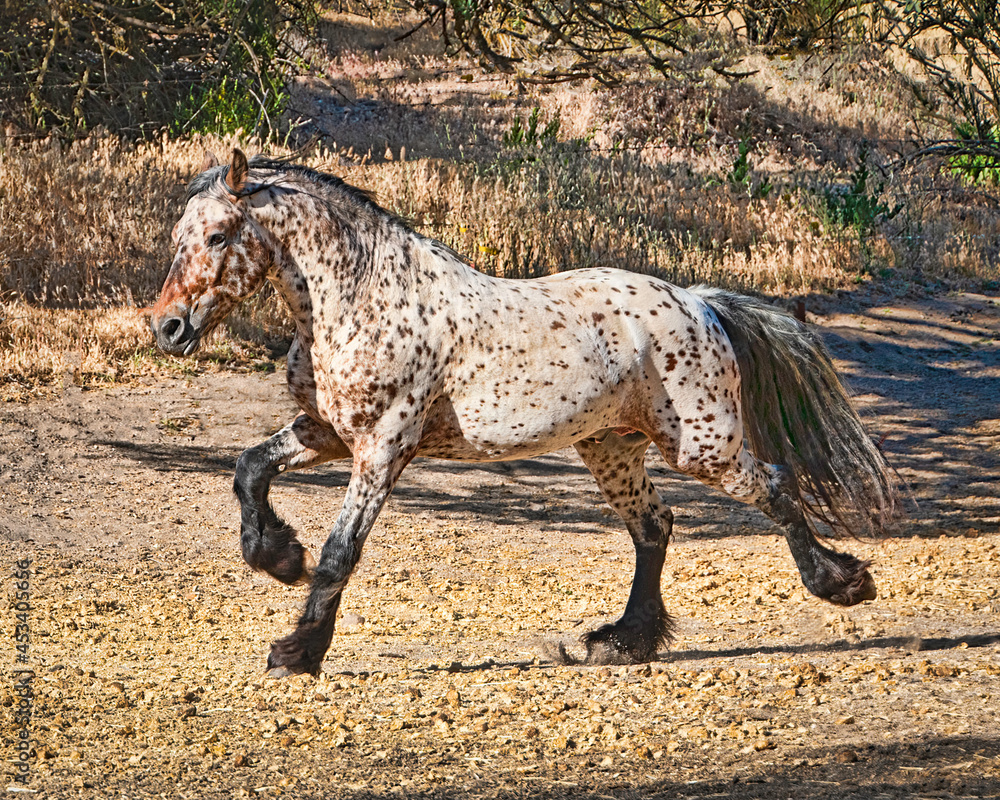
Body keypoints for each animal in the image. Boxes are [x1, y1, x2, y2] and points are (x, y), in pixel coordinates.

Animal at [152, 150, 904, 676]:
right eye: (181, 234)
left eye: (218, 236)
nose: (166, 328)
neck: (363, 298)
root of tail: (699, 303)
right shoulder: (330, 434)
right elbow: (248, 468)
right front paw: (277, 557)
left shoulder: (384, 447)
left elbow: (341, 553)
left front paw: (297, 651)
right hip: (611, 447)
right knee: (654, 527)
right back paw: (623, 643)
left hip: (701, 444)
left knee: (772, 487)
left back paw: (843, 583)